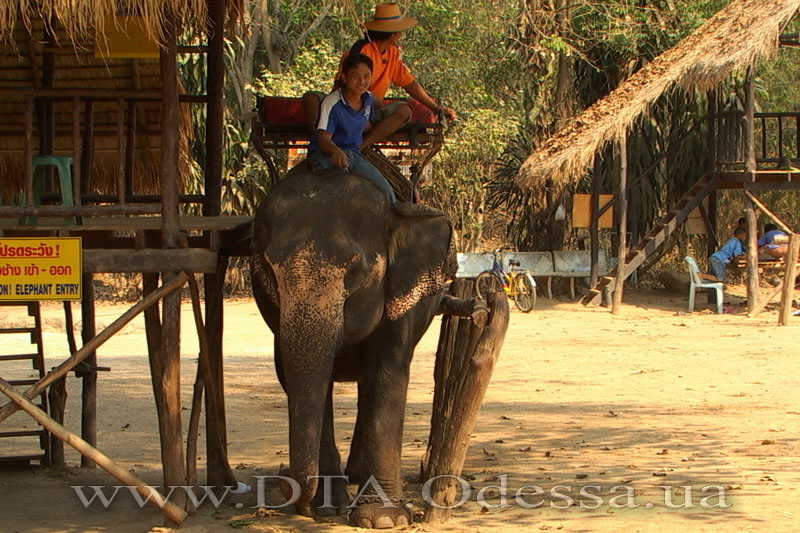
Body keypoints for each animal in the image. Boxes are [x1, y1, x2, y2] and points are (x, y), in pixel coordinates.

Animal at [252, 171, 476, 528]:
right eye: (269, 270)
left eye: (355, 272)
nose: (287, 481)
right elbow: (303, 380)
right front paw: (326, 510)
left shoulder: (398, 298)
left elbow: (387, 374)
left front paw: (384, 519)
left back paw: (358, 475)